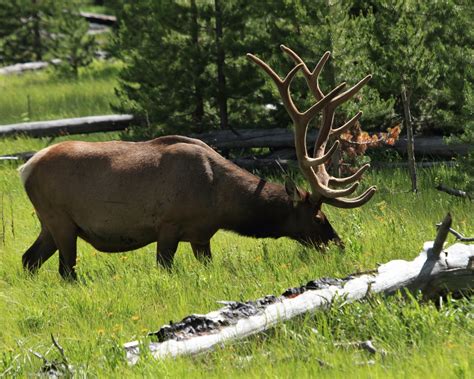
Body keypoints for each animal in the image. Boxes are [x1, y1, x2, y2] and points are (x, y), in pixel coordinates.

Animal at [20, 46, 376, 280]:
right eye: (318, 217)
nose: (338, 244)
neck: (220, 200)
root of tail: (25, 168)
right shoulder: (167, 226)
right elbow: (164, 268)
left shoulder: (202, 235)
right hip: (60, 220)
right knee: (65, 271)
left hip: (49, 224)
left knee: (28, 259)